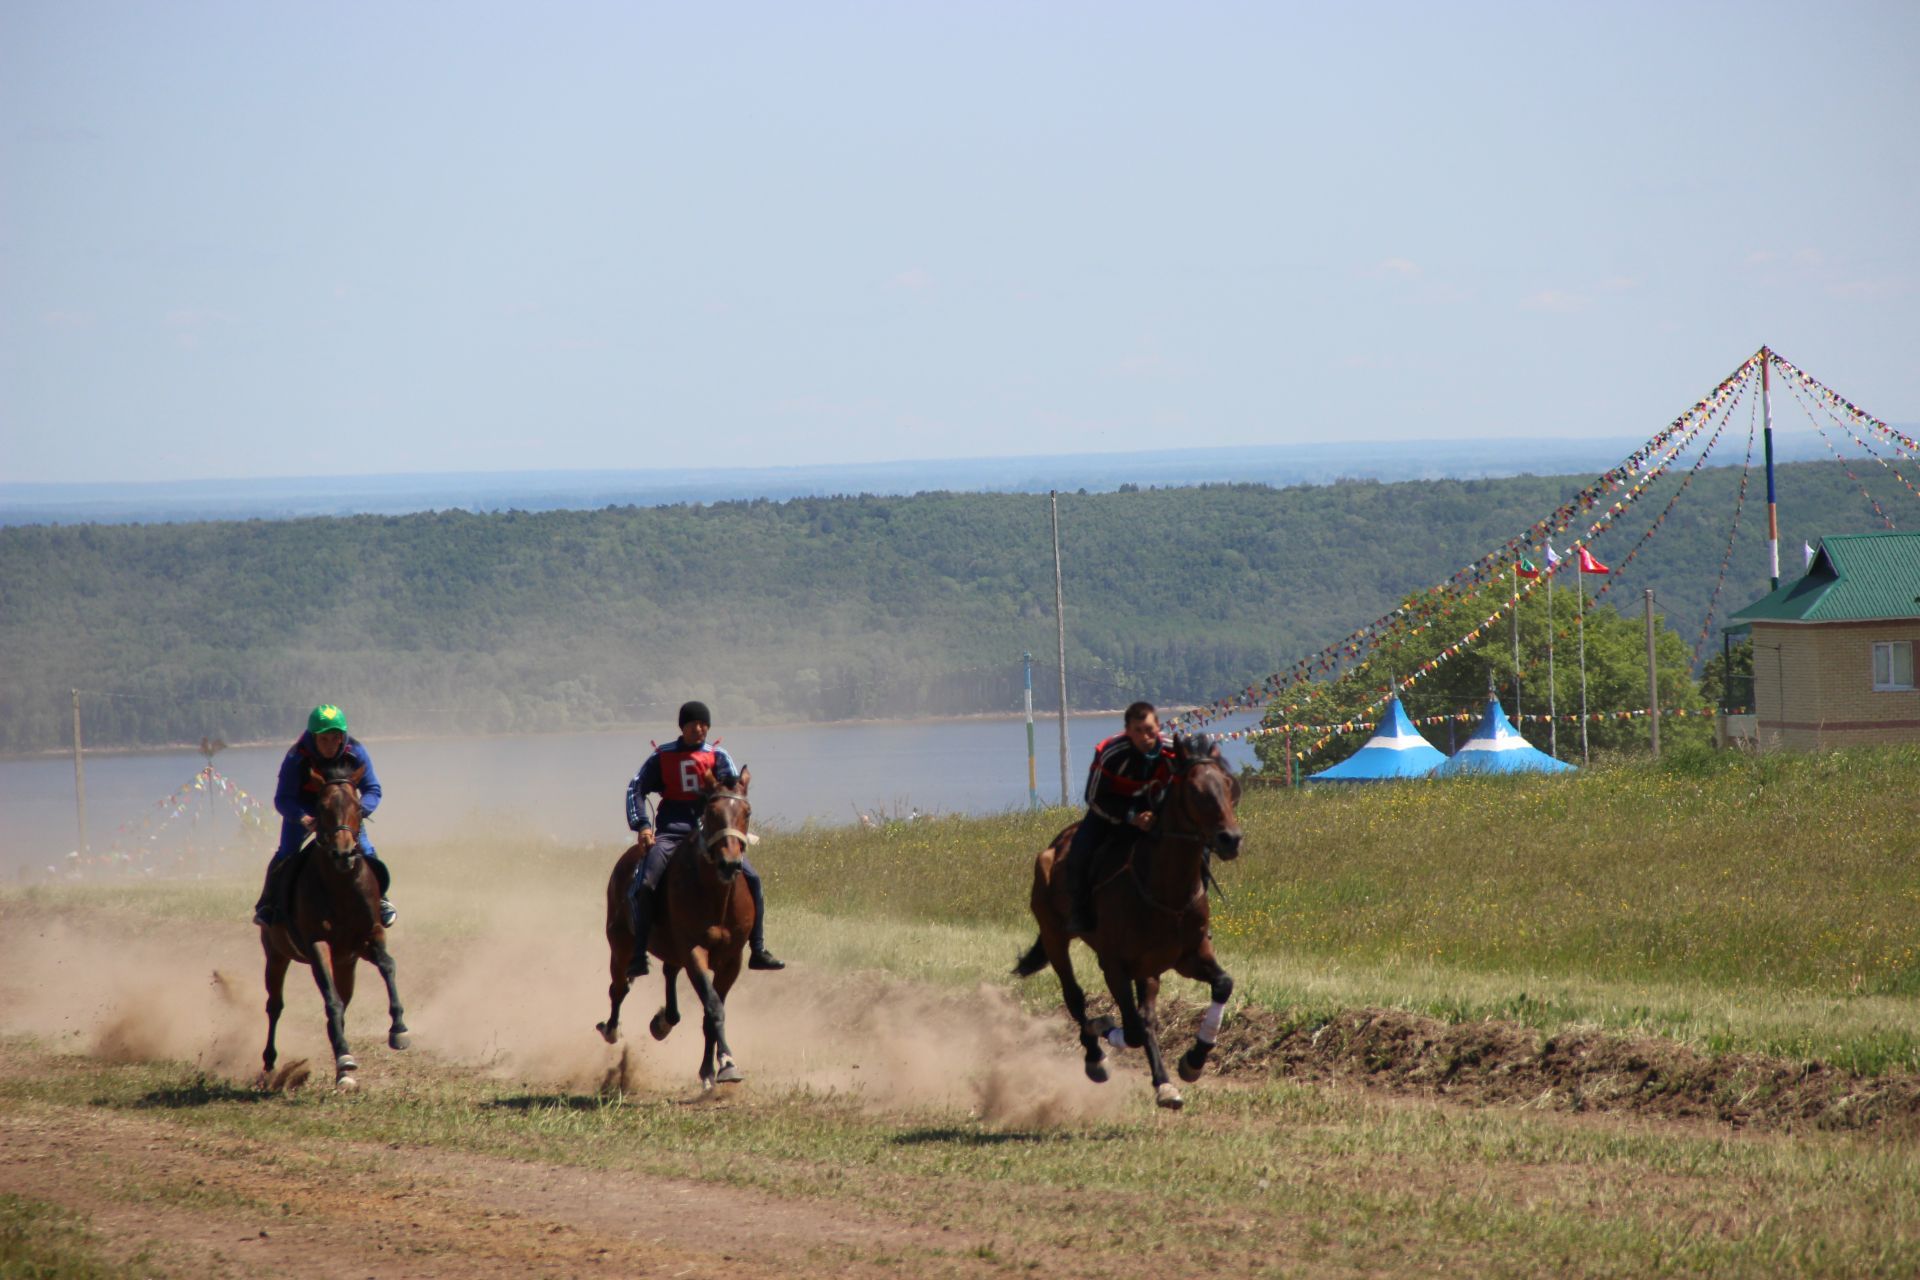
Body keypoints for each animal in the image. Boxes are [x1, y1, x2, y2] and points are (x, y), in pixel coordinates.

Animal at [257, 759, 407, 1090]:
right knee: (275, 1005)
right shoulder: (317, 944)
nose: (343, 853)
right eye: (321, 806)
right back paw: (271, 1064)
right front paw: (345, 1057)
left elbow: (388, 966)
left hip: (345, 963)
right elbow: (331, 1000)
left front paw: (399, 1029)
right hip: (276, 953)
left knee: (344, 999)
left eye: (358, 806)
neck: (342, 888)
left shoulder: (368, 938)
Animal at [595, 771, 752, 1090]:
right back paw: (612, 1029)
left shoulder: (732, 960)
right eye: (712, 813)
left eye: (747, 812)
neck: (717, 897)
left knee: (668, 973)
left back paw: (663, 1022)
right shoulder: (693, 951)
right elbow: (713, 1007)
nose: (729, 863)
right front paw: (726, 1065)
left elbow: (711, 1012)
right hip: (620, 943)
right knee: (619, 987)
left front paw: (714, 1068)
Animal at [1021, 740, 1244, 1113]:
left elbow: (1222, 985)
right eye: (1195, 790)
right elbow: (1134, 1029)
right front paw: (1106, 1028)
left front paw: (1193, 1061)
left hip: (1148, 968)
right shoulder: (1113, 964)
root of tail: (1054, 845)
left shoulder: (1189, 955)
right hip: (1054, 936)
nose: (1231, 839)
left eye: (1229, 786)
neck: (1165, 888)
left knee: (1145, 1015)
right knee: (1076, 998)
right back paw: (1096, 1056)